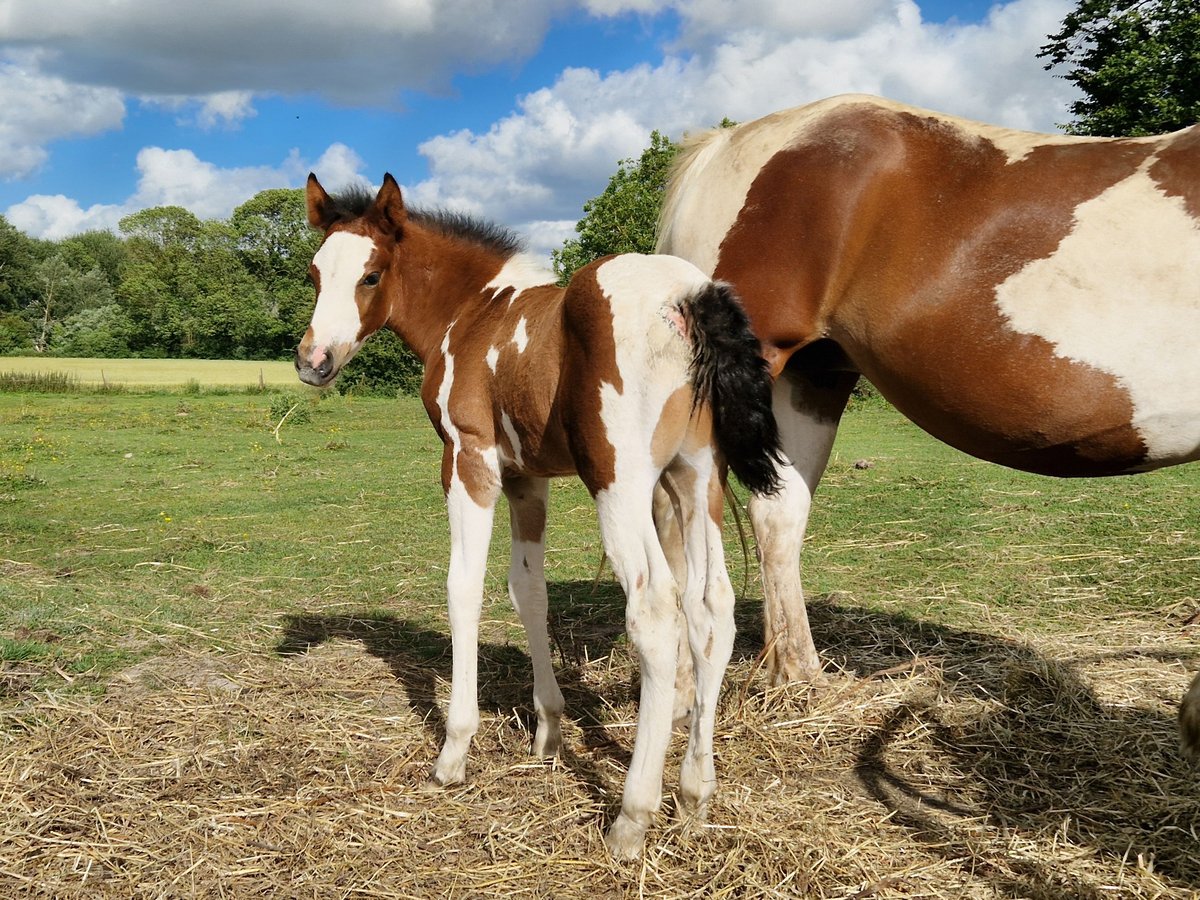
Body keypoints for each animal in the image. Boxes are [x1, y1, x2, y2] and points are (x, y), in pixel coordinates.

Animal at [290, 176, 777, 859]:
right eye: (314, 272)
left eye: (371, 275)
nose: (314, 361)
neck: (473, 313)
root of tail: (690, 297)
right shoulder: (528, 480)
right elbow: (529, 591)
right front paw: (549, 730)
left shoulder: (468, 460)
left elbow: (464, 588)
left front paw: (454, 751)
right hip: (697, 478)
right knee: (712, 610)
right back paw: (695, 796)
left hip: (621, 484)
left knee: (656, 610)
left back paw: (632, 818)